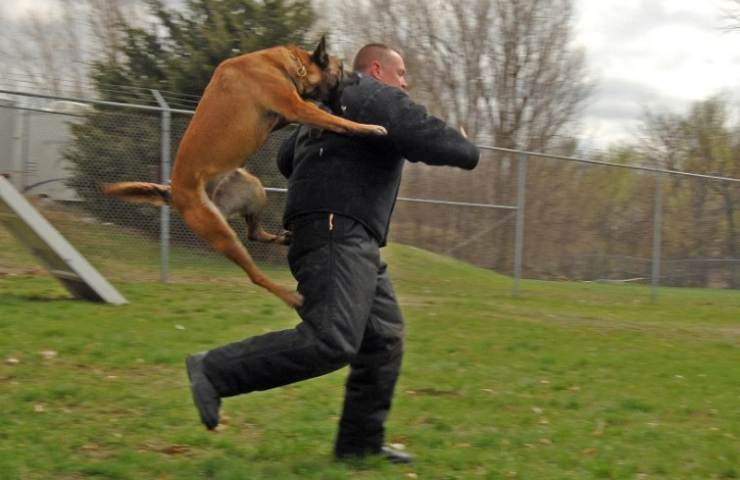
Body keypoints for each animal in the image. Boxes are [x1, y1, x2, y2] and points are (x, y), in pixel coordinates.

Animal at [102, 37, 388, 308]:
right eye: (341, 68)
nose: (359, 77)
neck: (289, 65)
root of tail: (174, 192)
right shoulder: (294, 107)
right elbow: (337, 120)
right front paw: (369, 128)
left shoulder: (285, 114)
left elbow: (320, 112)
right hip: (221, 233)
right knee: (254, 274)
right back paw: (289, 296)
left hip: (252, 187)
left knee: (253, 233)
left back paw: (282, 238)